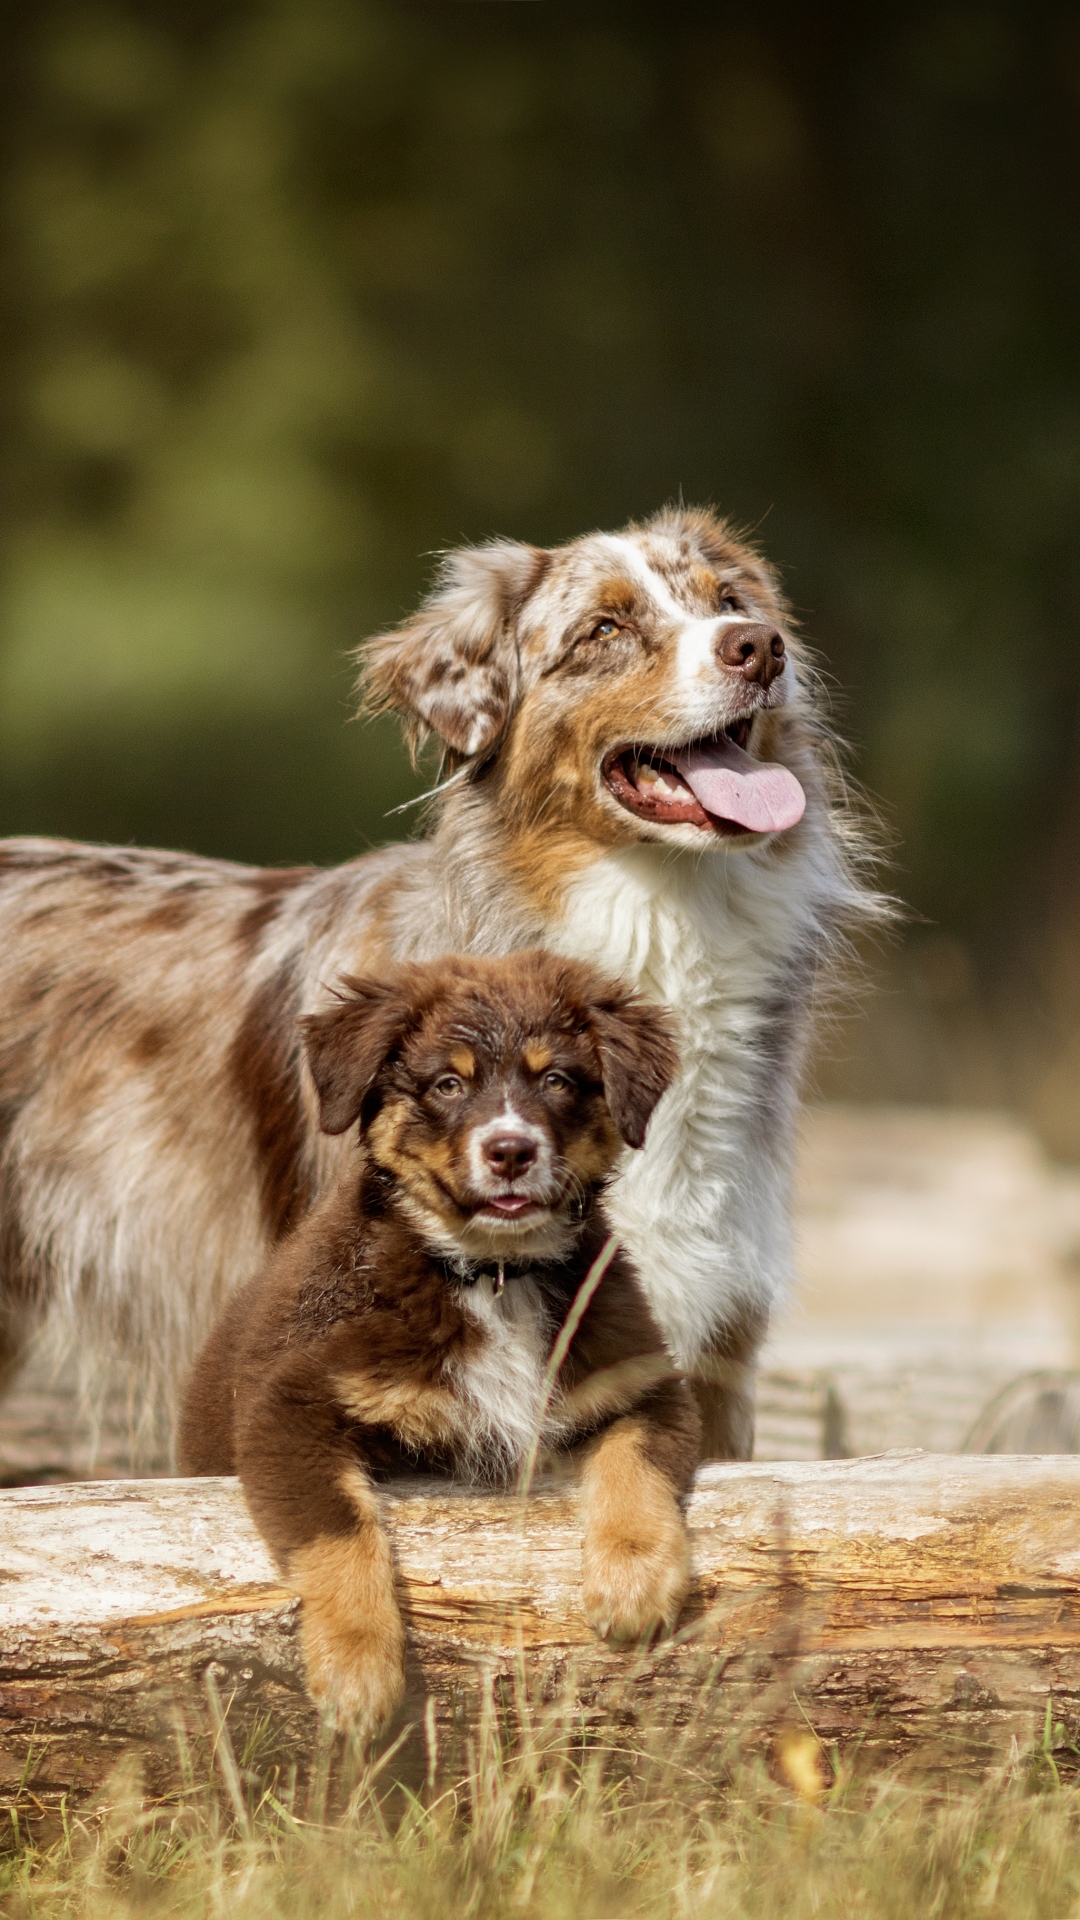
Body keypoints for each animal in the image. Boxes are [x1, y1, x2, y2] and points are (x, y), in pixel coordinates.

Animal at [178, 952, 699, 1735]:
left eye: (557, 1080)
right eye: (448, 1084)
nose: (511, 1150)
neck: (493, 1274)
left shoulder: (640, 1380)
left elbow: (636, 1462)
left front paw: (634, 1582)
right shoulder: (289, 1405)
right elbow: (339, 1530)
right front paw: (357, 1674)